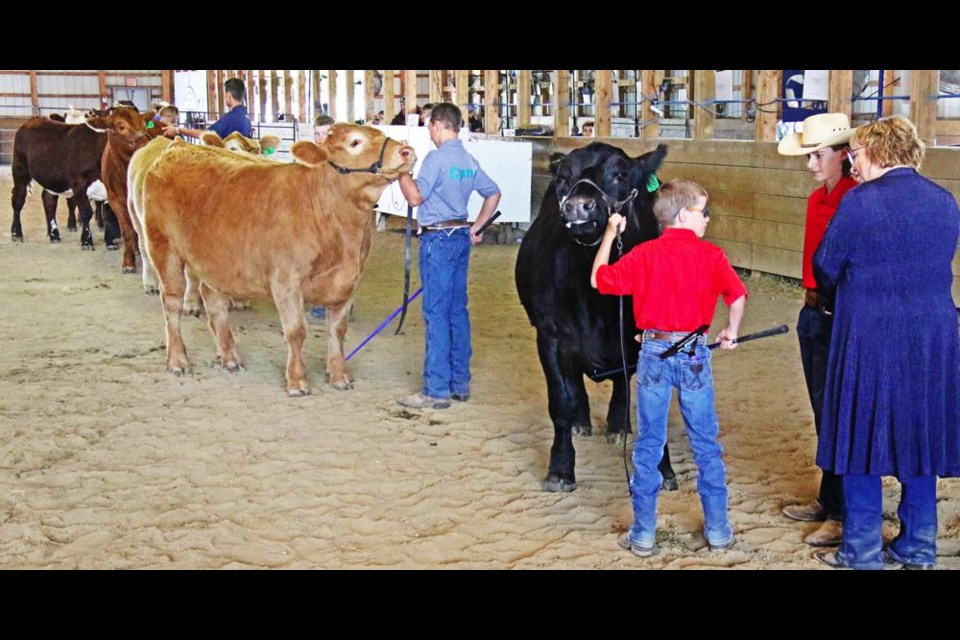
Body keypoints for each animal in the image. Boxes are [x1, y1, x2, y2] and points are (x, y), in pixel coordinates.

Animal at [126, 123, 412, 396]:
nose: (406, 150)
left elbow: (337, 331)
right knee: (172, 302)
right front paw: (297, 382)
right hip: (163, 246)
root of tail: (178, 146)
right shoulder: (286, 281)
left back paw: (229, 356)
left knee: (215, 303)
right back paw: (177, 360)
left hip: (214, 261)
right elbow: (296, 331)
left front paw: (339, 377)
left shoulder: (348, 282)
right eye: (355, 142)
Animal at [512, 142, 680, 492]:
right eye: (565, 178)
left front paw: (663, 468)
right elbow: (560, 400)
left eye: (619, 174)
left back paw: (618, 426)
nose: (578, 207)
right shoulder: (549, 335)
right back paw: (582, 423)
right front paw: (560, 468)